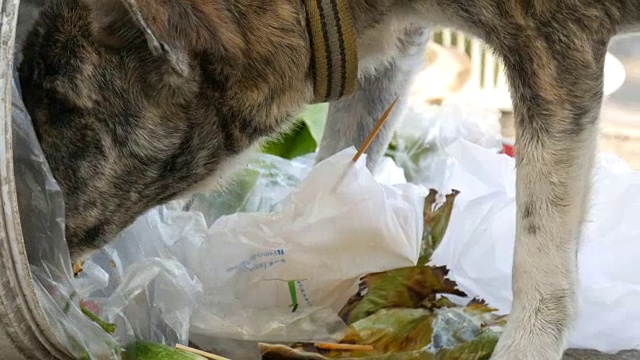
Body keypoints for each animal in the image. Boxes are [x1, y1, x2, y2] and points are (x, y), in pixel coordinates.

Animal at [16, 0, 640, 360]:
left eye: (63, 107)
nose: (36, 249)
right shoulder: (391, 50)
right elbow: (340, 154)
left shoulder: (553, 46)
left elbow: (539, 255)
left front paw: (526, 345)